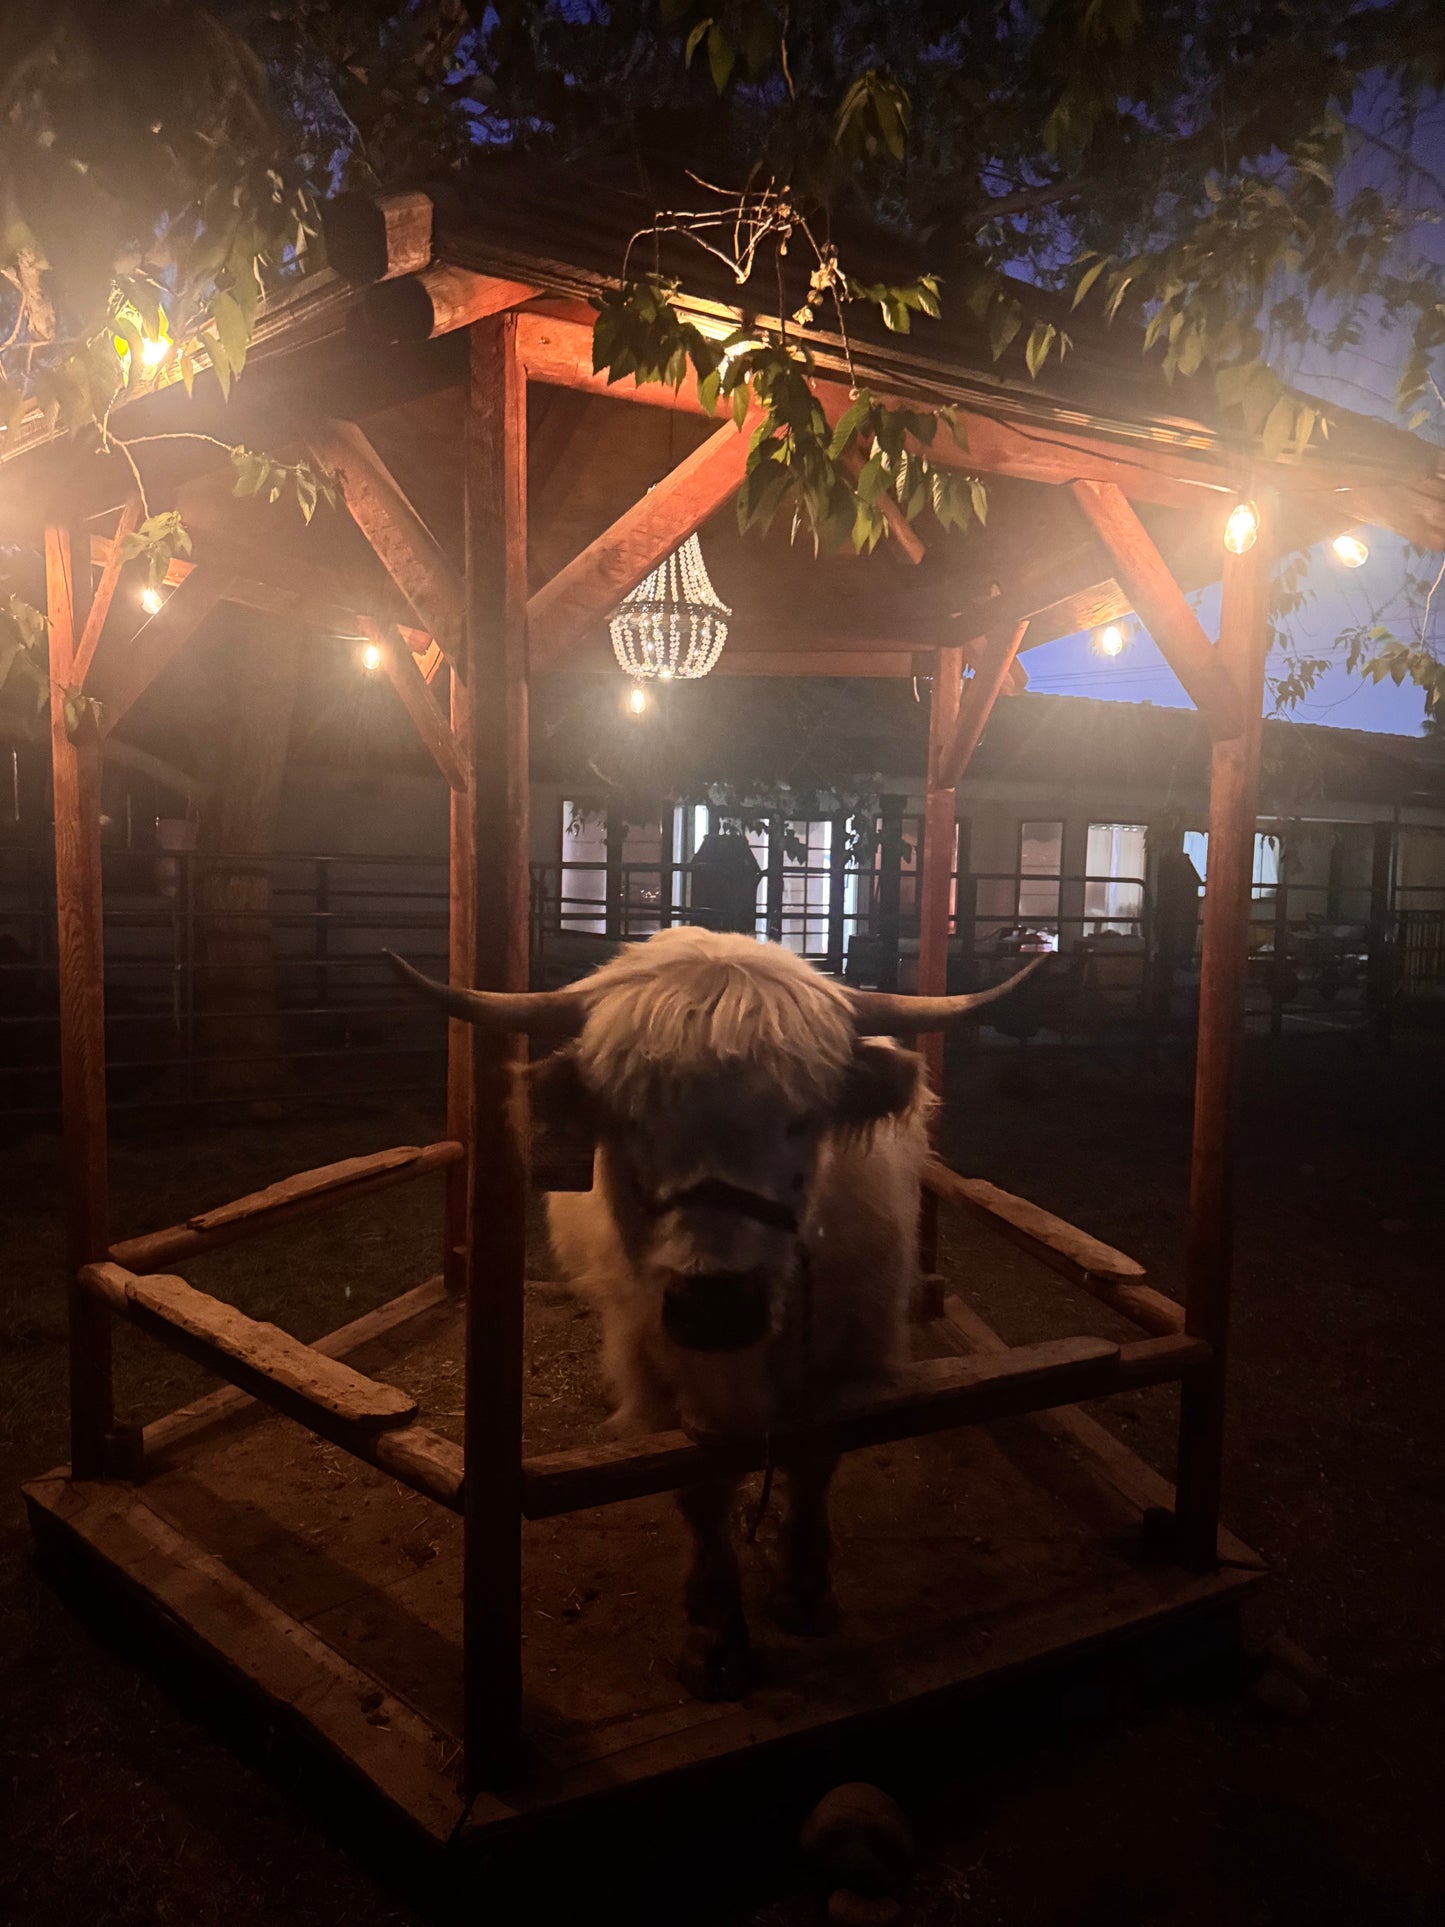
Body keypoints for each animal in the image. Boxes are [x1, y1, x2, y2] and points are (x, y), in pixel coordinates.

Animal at [388, 928, 1038, 1699]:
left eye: (801, 1118)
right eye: (628, 1120)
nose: (715, 1305)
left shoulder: (845, 1355)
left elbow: (814, 1458)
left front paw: (805, 1589)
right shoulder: (665, 1372)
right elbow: (701, 1487)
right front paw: (715, 1635)